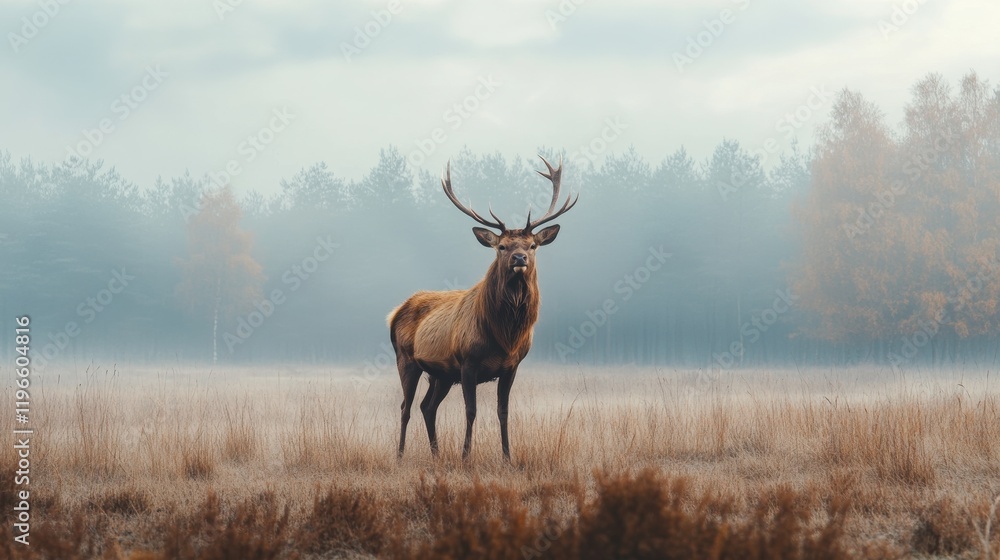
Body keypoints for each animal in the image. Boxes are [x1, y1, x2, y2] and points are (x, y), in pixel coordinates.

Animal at [388, 156, 577, 461]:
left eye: (532, 245)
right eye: (501, 246)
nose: (519, 258)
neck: (505, 336)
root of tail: (394, 313)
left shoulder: (512, 366)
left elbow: (503, 412)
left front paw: (508, 457)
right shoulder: (468, 361)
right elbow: (471, 410)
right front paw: (465, 457)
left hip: (440, 373)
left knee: (427, 407)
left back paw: (437, 455)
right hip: (406, 359)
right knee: (406, 407)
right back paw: (401, 455)